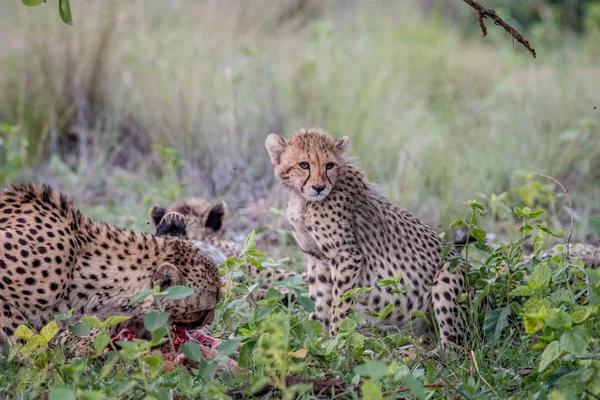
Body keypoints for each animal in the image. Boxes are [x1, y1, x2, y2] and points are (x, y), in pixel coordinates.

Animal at [264, 127, 466, 344]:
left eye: (329, 165)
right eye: (303, 164)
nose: (319, 187)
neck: (303, 201)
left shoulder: (346, 256)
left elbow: (341, 302)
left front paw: (338, 340)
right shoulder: (316, 258)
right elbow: (321, 300)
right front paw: (321, 340)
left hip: (449, 275)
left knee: (456, 344)